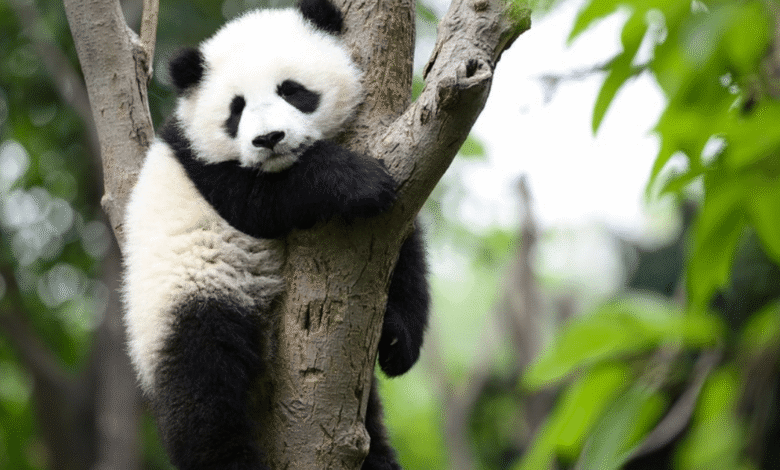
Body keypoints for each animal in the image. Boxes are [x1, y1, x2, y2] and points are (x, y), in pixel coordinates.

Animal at [121, 0, 429, 468]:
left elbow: (402, 249)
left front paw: (396, 339)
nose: (269, 139)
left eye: (291, 90)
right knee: (202, 386)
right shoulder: (205, 169)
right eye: (236, 109)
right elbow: (262, 201)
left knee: (369, 425)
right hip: (183, 297)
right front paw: (357, 181)